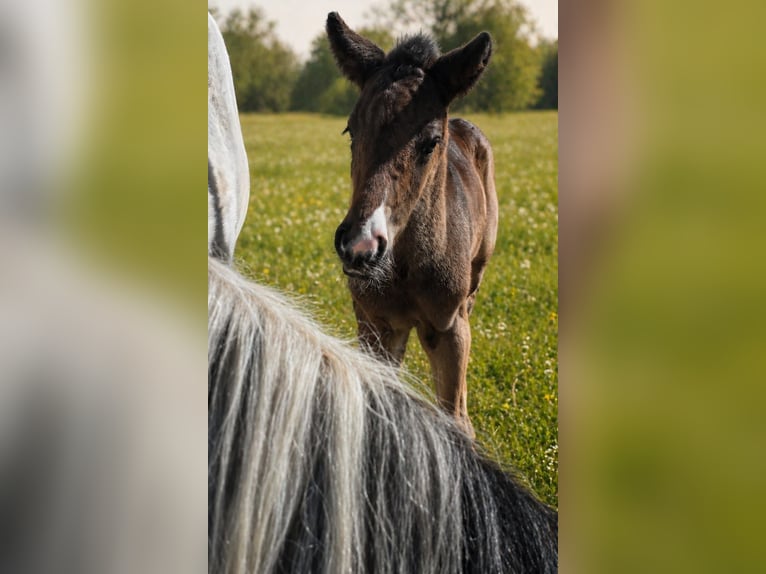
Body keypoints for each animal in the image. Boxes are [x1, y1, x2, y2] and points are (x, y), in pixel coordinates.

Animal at [326, 13, 499, 435]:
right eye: (351, 131)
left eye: (431, 142)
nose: (360, 246)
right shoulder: (374, 325)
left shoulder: (448, 328)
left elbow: (454, 415)